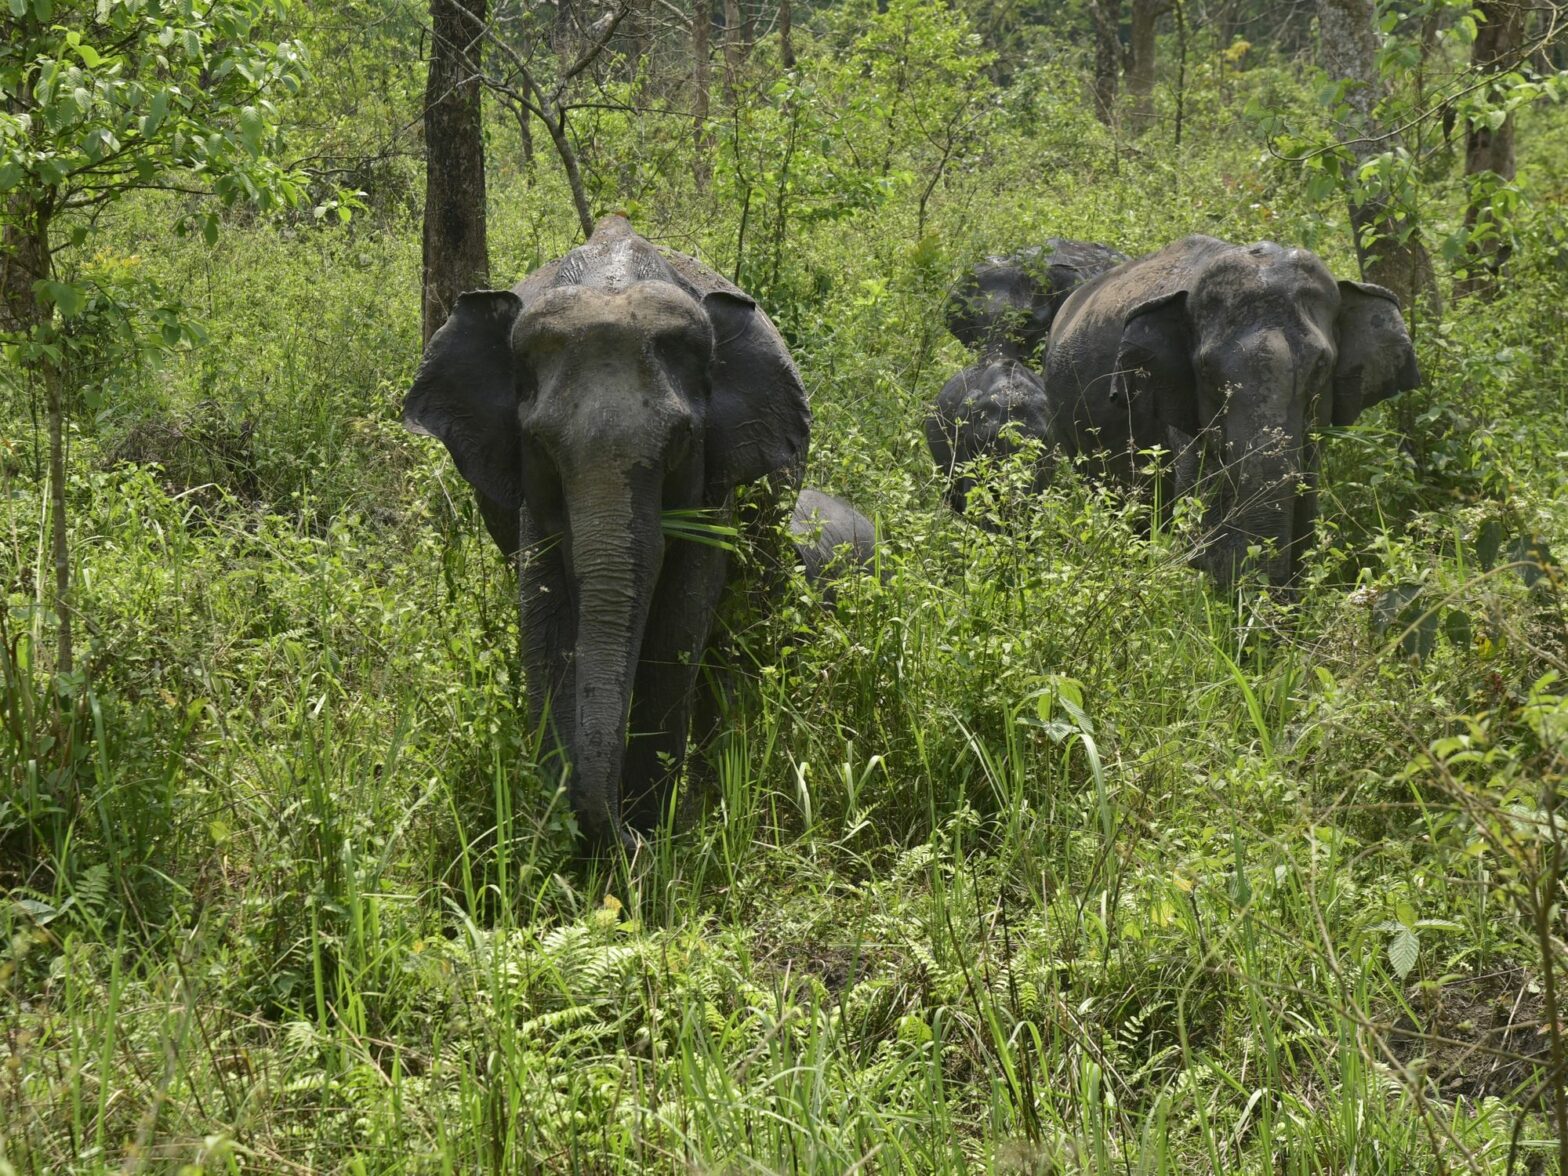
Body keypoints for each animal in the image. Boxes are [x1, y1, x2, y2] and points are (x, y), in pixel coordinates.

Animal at [403, 215, 811, 845]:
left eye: (681, 441)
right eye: (539, 443)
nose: (624, 834)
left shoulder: (714, 479)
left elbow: (680, 621)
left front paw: (654, 828)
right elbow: (544, 620)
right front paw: (563, 833)